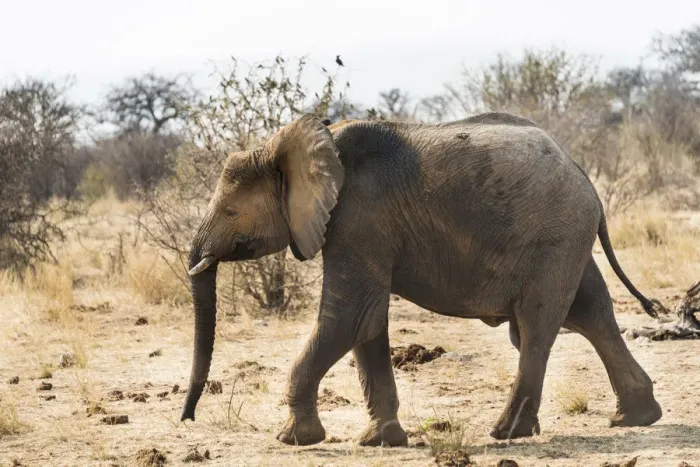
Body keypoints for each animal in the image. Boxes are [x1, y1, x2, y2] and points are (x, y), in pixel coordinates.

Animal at [179, 112, 666, 447]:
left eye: (229, 212)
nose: (187, 419)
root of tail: (584, 175)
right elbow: (366, 325)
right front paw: (381, 441)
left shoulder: (359, 217)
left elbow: (349, 318)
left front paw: (294, 439)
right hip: (567, 240)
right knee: (591, 313)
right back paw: (635, 418)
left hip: (554, 237)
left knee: (535, 328)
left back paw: (506, 432)